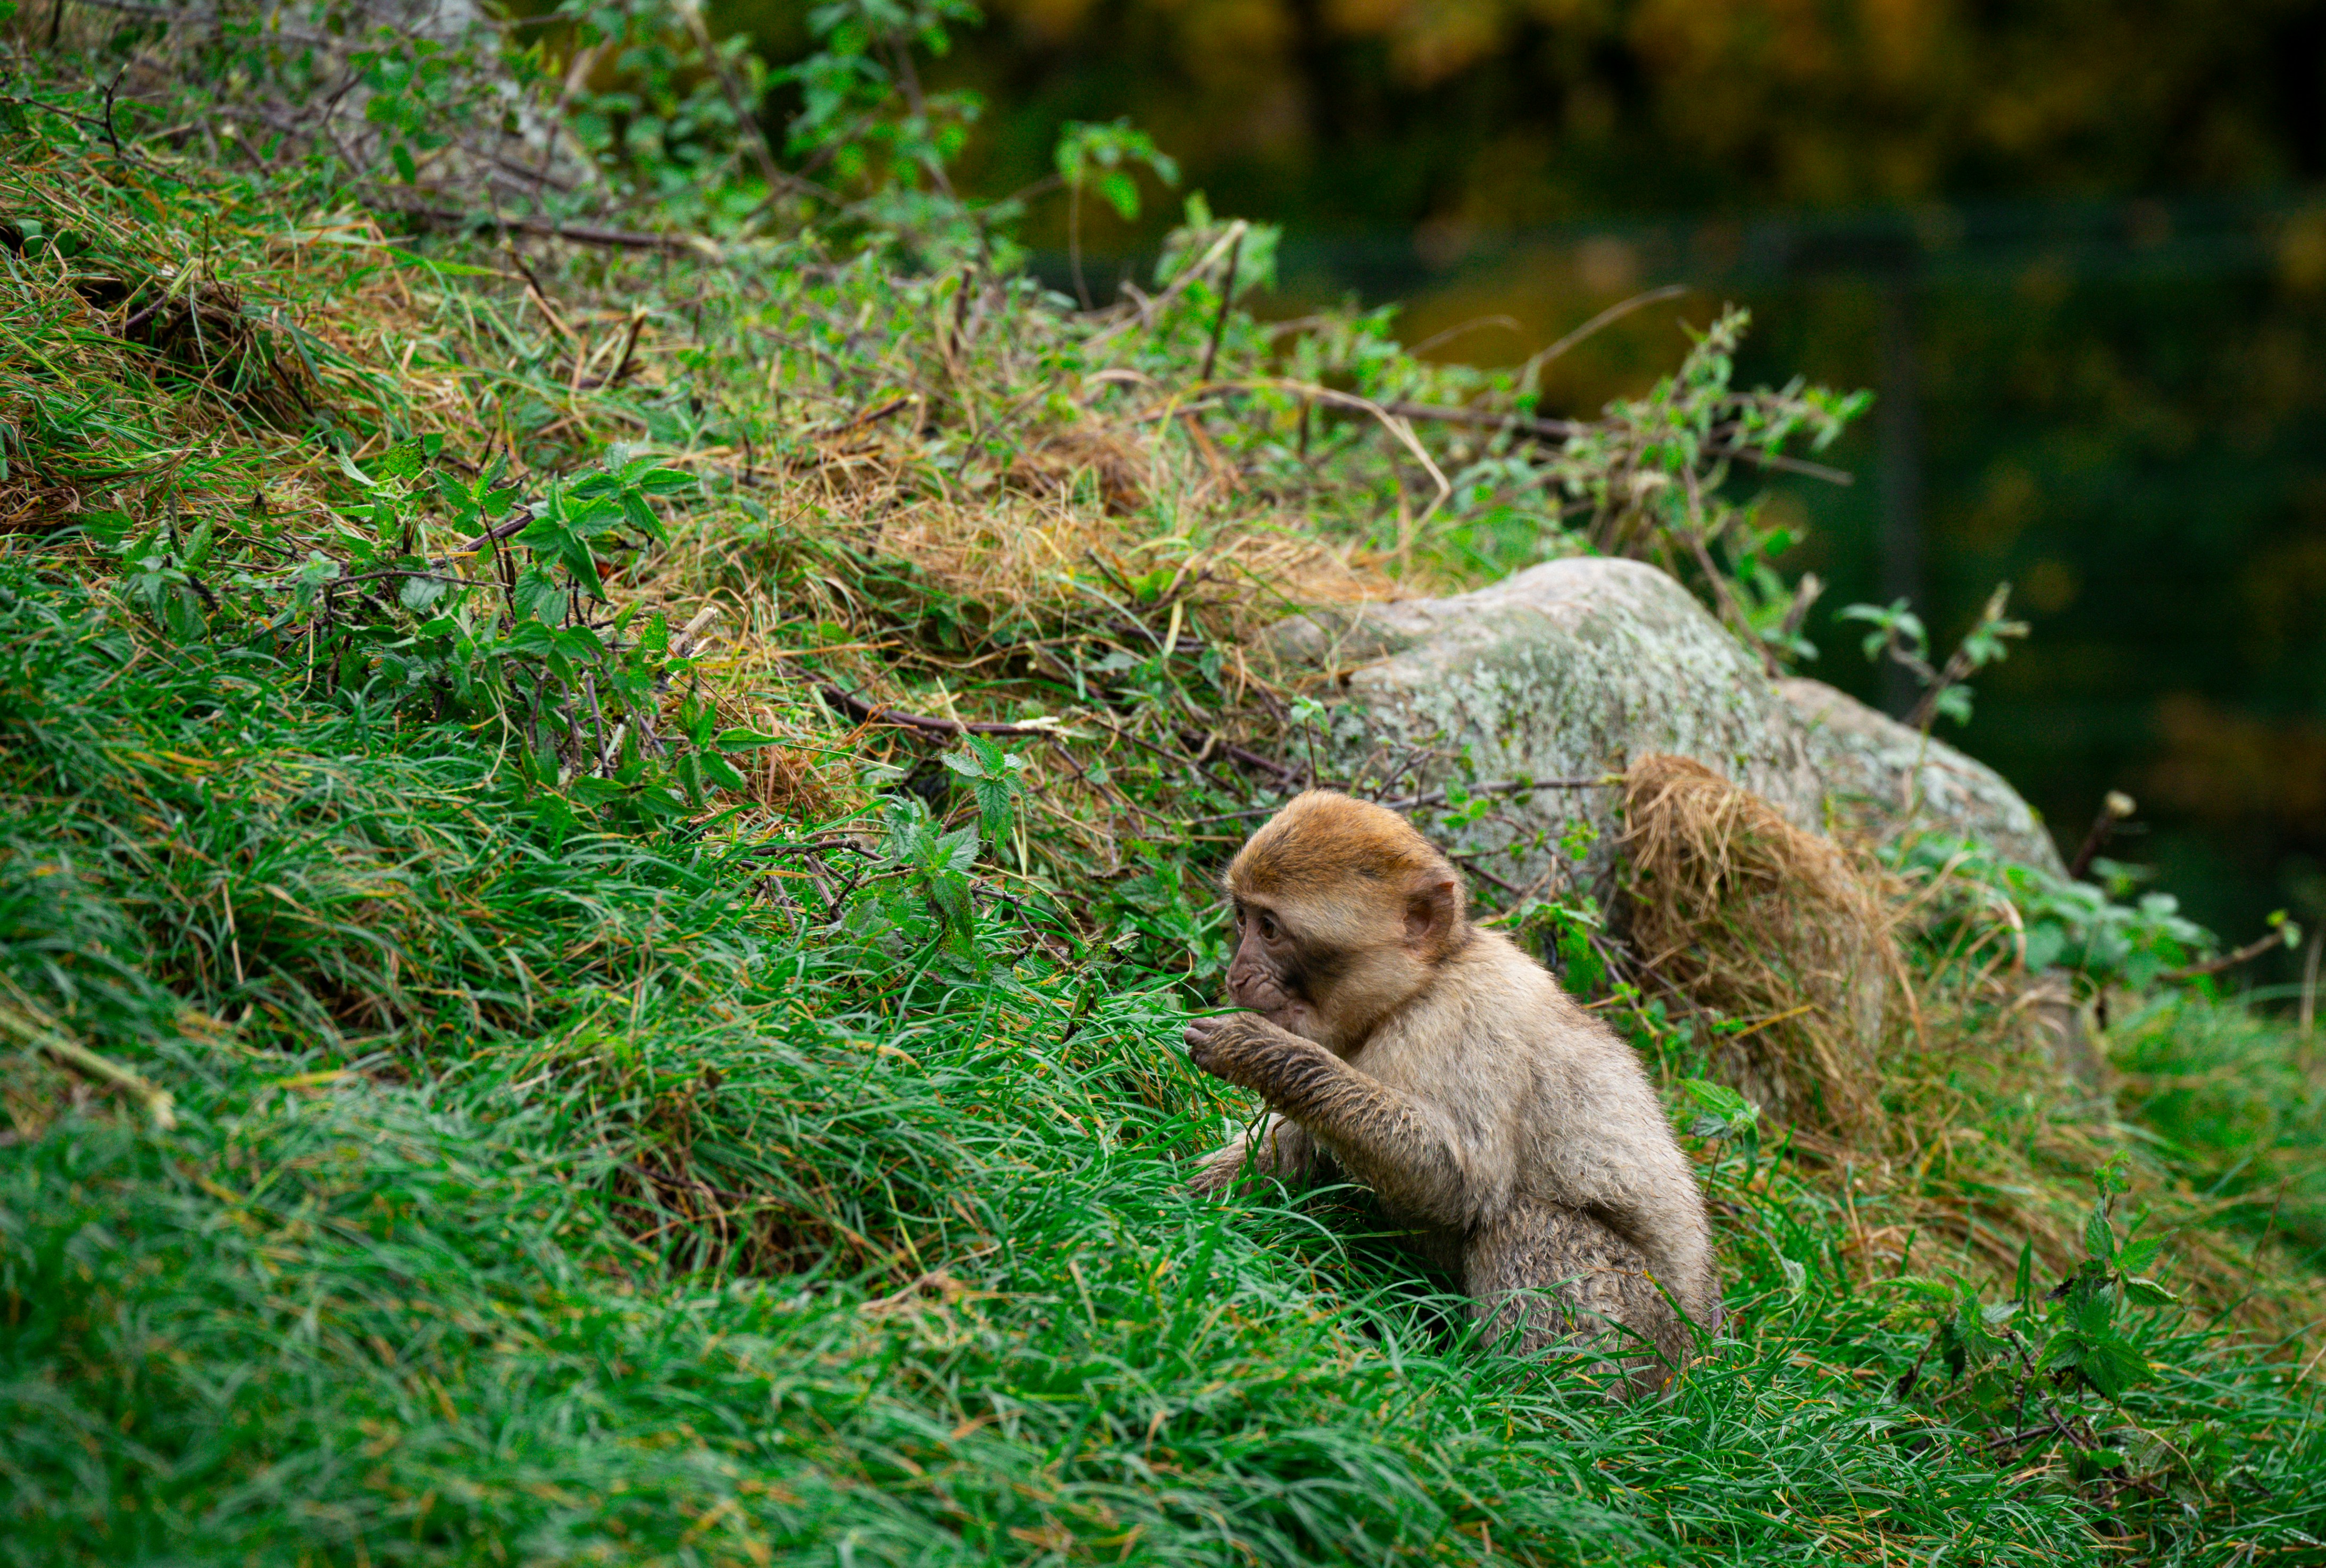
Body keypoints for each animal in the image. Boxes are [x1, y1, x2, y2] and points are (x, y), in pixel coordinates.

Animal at [1183, 791, 1721, 1395]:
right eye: (1242, 917)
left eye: (1271, 929)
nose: (1236, 973)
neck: (1421, 984)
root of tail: (1692, 1357)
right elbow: (1297, 1146)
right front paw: (1174, 1196)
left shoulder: (1461, 1020)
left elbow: (1461, 1182)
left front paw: (1259, 1051)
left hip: (1638, 1327)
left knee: (1522, 1219)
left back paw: (1529, 1398)